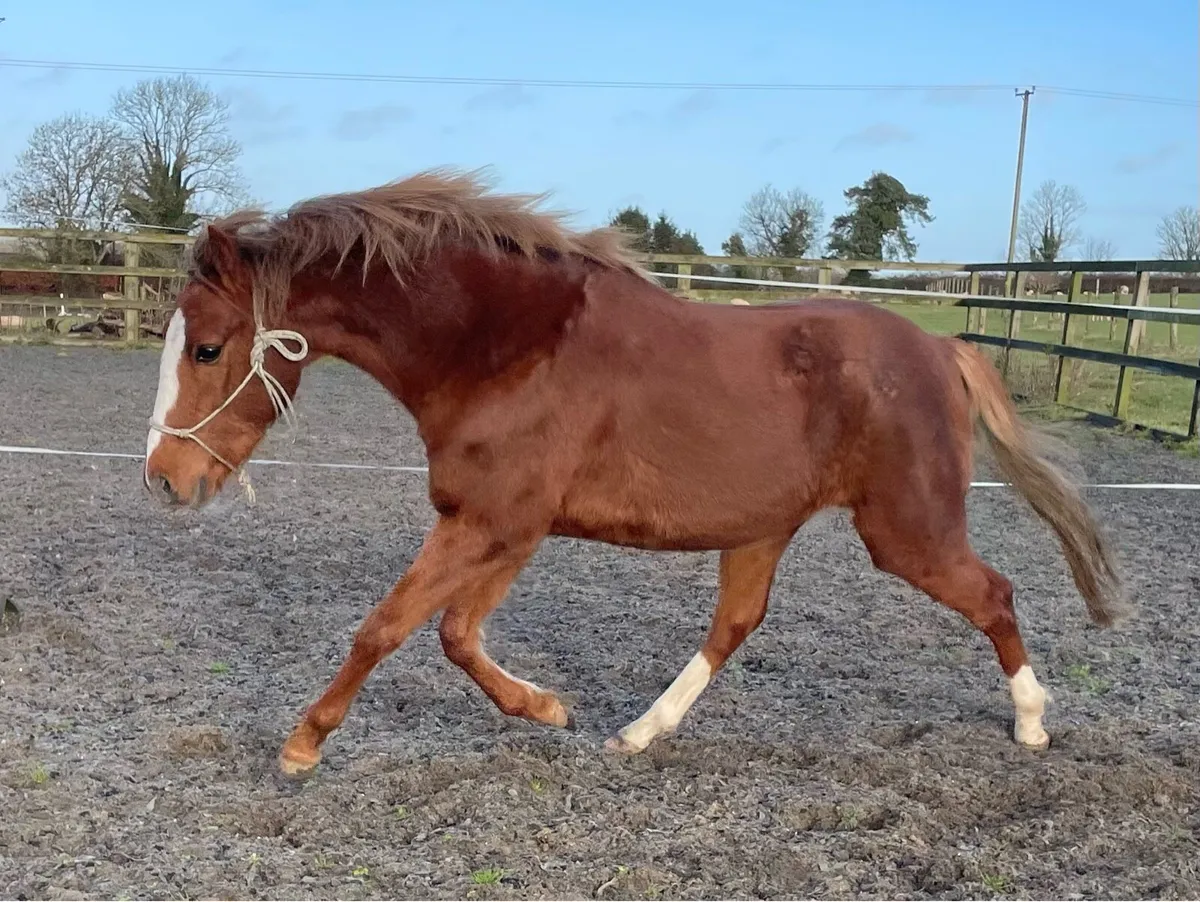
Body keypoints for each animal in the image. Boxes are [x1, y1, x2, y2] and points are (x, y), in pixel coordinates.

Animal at [141, 168, 1131, 778]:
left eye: (207, 347)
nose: (164, 481)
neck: (503, 347)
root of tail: (940, 347)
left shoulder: (491, 522)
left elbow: (384, 627)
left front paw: (302, 748)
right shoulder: (502, 524)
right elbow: (456, 634)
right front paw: (548, 710)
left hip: (906, 533)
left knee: (994, 593)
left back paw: (1033, 723)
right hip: (763, 529)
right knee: (734, 626)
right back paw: (638, 734)